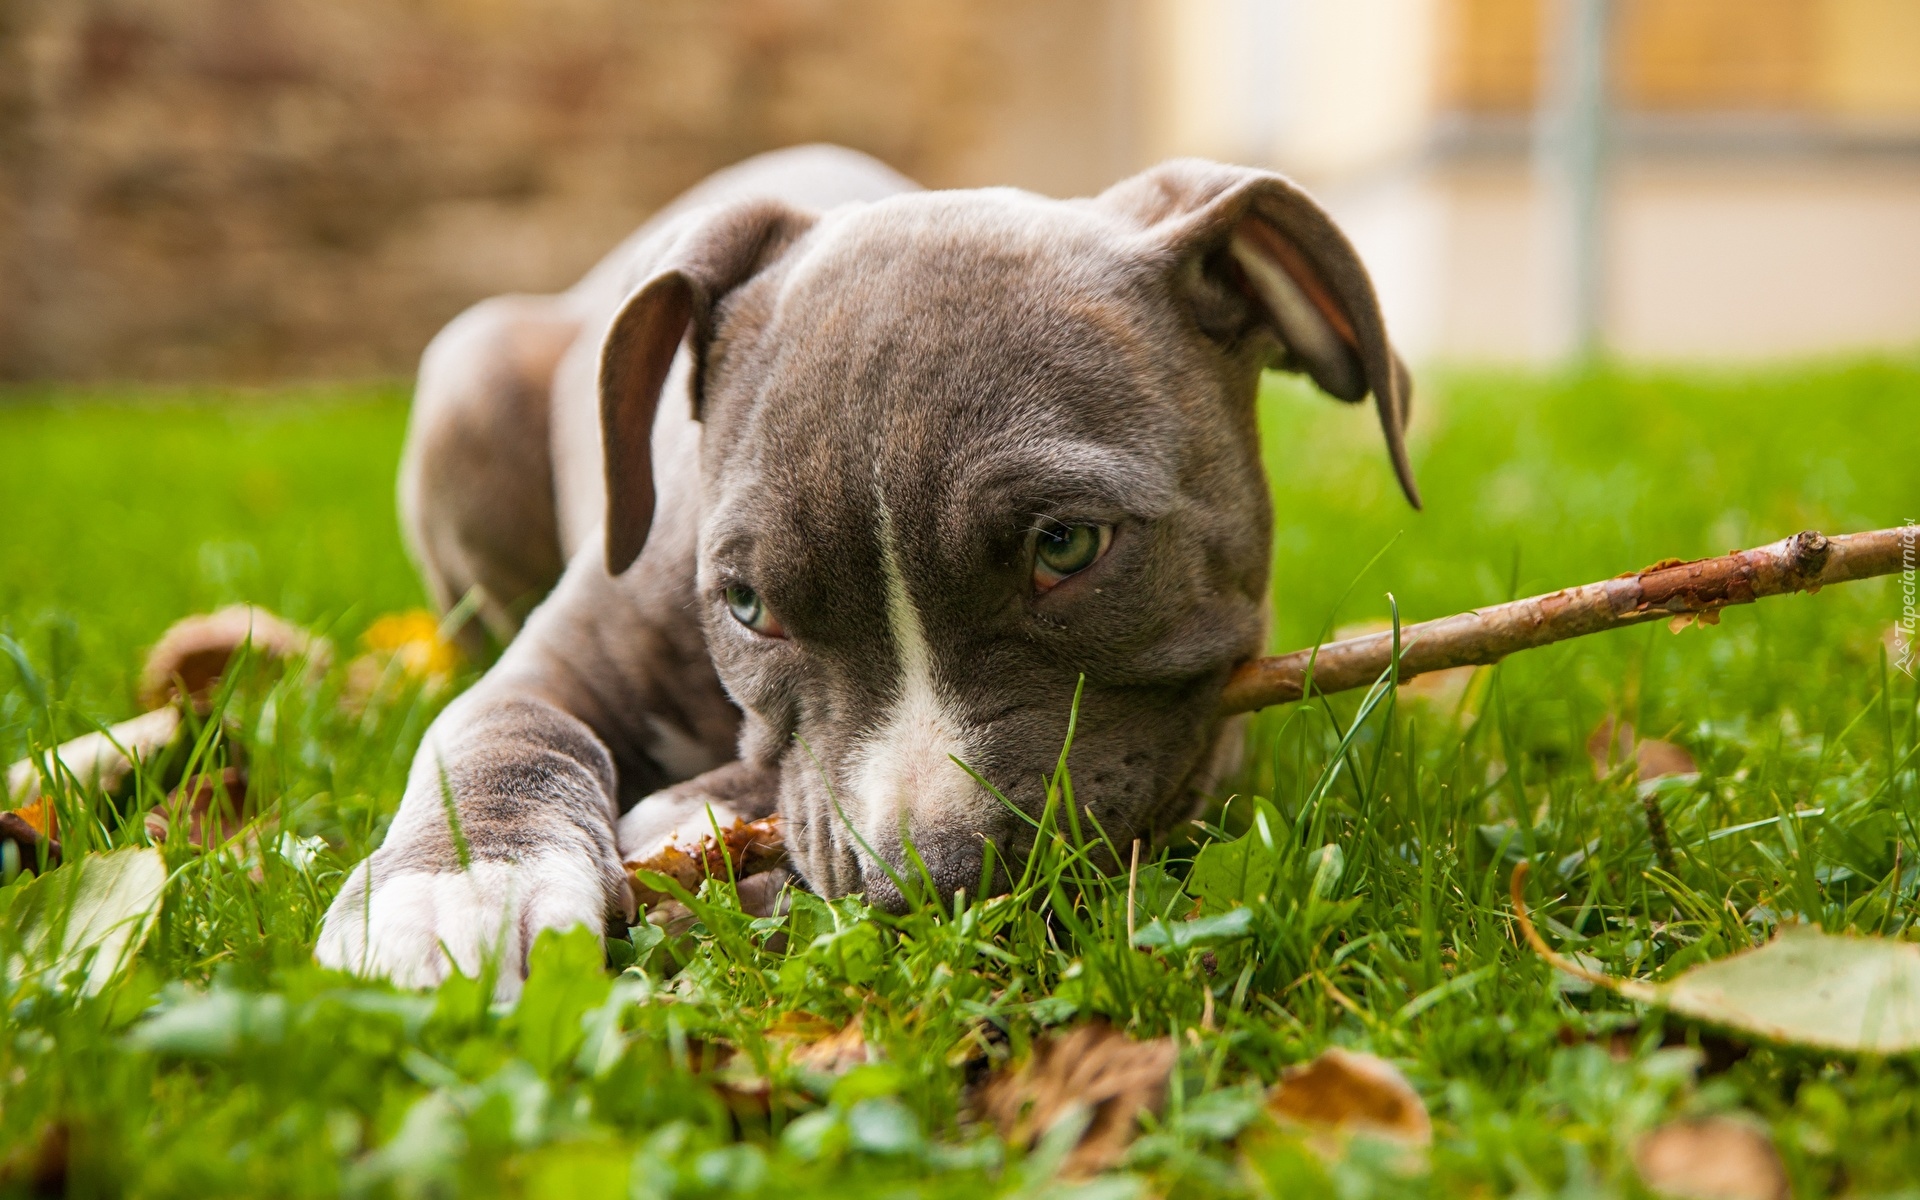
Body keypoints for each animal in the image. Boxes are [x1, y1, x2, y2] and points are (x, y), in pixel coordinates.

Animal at [314, 144, 1420, 998]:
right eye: (747, 606)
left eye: (1066, 546)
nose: (926, 882)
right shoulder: (565, 657)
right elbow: (497, 731)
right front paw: (458, 887)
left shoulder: (1210, 730)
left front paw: (704, 822)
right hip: (468, 369)